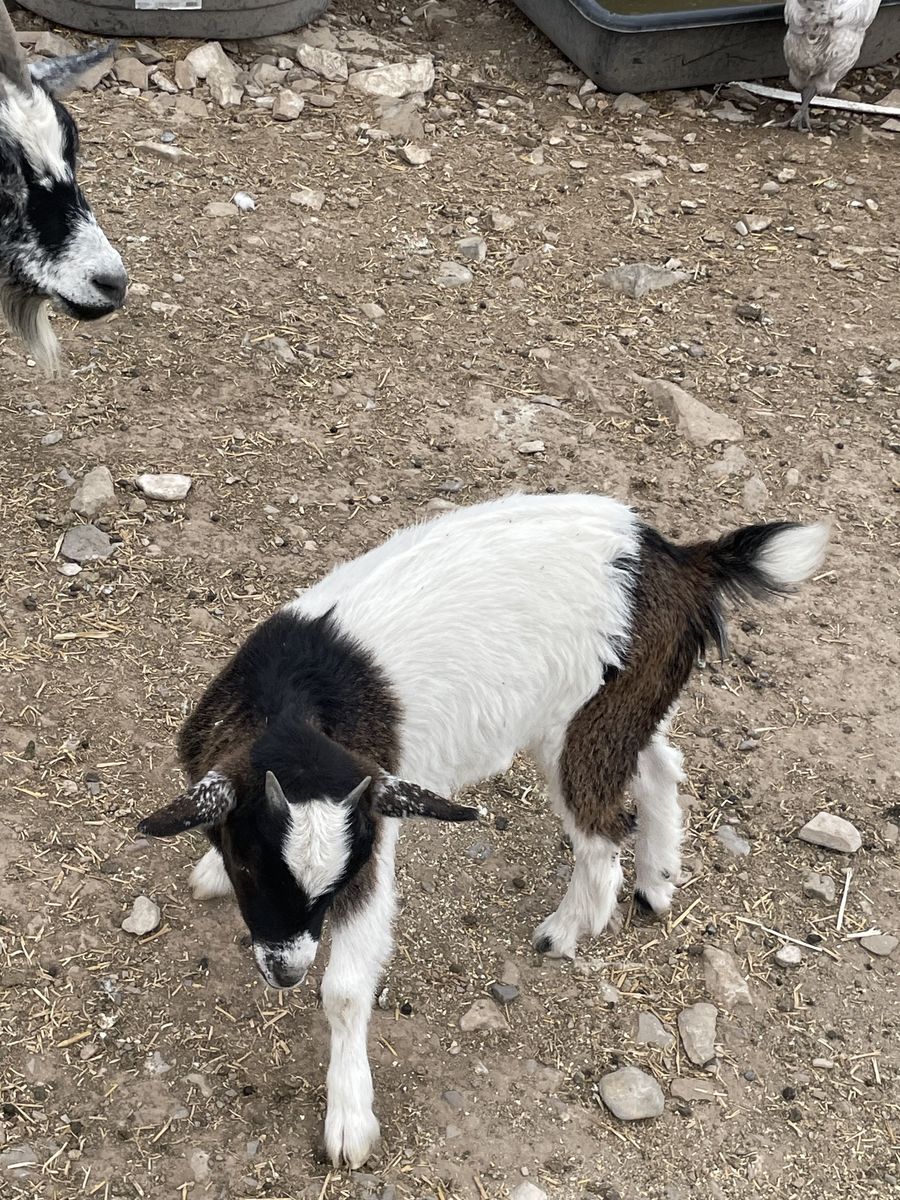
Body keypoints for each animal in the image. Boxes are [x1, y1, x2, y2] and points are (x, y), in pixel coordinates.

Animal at [138, 493, 829, 1168]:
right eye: (249, 865)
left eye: (339, 878)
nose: (285, 972)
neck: (294, 700)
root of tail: (682, 562)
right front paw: (210, 868)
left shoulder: (371, 837)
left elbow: (345, 990)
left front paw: (349, 1125)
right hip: (626, 703)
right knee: (659, 765)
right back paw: (658, 881)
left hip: (581, 723)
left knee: (604, 831)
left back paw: (567, 928)